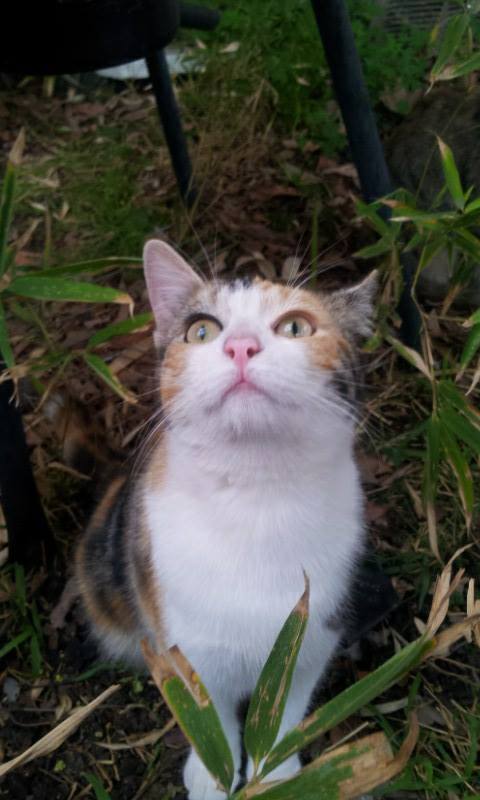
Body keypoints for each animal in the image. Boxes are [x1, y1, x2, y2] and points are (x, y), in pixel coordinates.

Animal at [72, 239, 376, 800]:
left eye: (295, 327)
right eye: (201, 330)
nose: (240, 347)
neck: (256, 497)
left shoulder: (312, 634)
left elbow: (286, 708)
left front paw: (273, 770)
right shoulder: (184, 641)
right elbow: (206, 709)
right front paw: (213, 773)